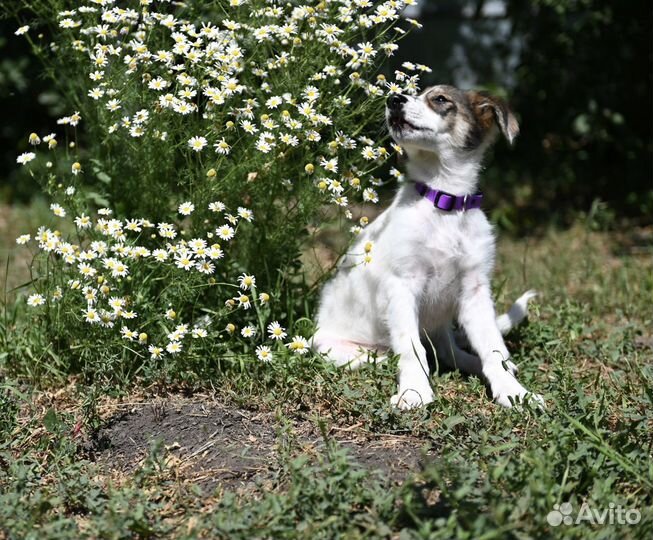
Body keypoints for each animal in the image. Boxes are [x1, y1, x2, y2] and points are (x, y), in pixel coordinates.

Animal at [314, 83, 544, 410]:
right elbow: (411, 349)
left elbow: (493, 349)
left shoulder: (475, 291)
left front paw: (513, 391)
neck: (444, 202)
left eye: (439, 99)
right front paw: (414, 390)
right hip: (330, 347)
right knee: (390, 355)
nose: (393, 99)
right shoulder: (402, 286)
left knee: (450, 352)